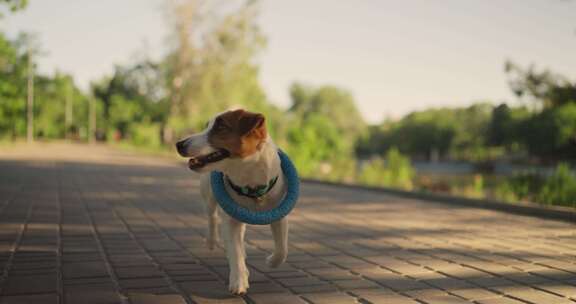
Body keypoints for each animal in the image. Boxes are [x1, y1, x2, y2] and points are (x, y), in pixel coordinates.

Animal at [176, 109, 290, 294]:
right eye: (206, 126)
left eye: (221, 127)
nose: (179, 144)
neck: (251, 183)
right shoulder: (230, 220)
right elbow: (234, 250)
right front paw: (238, 280)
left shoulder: (280, 215)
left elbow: (282, 249)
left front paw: (271, 261)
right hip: (208, 195)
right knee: (212, 217)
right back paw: (212, 241)